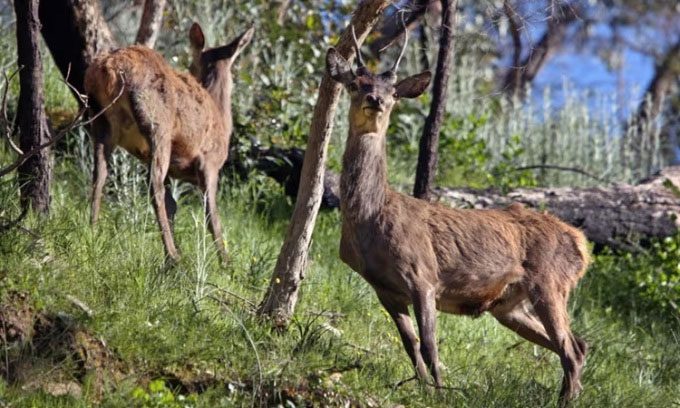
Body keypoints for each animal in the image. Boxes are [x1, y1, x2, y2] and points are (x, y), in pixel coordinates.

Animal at [83, 23, 254, 264]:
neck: (223, 118)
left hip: (100, 121)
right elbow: (211, 213)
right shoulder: (209, 163)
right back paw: (172, 256)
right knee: (152, 184)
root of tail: (110, 68)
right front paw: (225, 261)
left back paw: (93, 230)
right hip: (158, 126)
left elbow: (173, 203)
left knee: (99, 174)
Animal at [328, 27, 588, 404]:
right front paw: (421, 388)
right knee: (577, 346)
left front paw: (439, 393)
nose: (376, 99)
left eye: (393, 92)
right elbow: (410, 345)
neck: (370, 219)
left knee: (570, 349)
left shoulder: (422, 275)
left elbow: (430, 345)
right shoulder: (384, 288)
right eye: (355, 83)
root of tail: (582, 245)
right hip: (509, 305)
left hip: (550, 282)